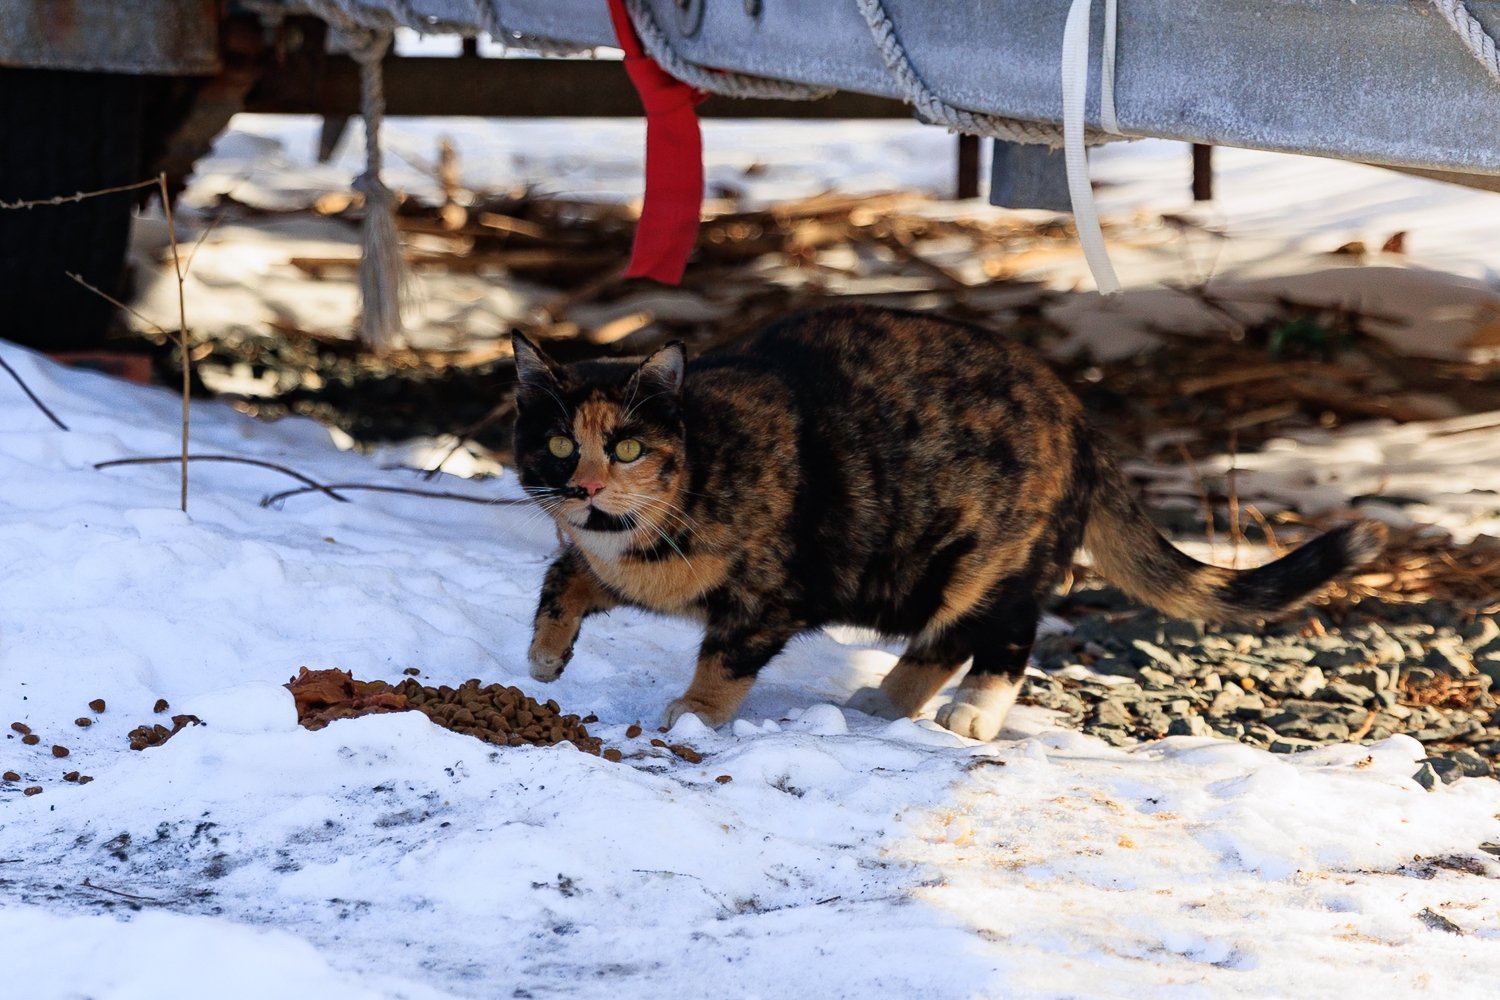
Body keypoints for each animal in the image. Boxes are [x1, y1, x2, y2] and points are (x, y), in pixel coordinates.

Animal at [510, 305, 1384, 740]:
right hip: (930, 569)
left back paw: (971, 711)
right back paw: (890, 700)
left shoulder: (766, 597)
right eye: (557, 442)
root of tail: (1080, 419)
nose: (585, 487)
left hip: (986, 557)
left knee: (1003, 630)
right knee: (948, 634)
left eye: (628, 445)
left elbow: (725, 658)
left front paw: (695, 715)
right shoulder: (618, 566)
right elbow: (562, 574)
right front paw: (547, 659)